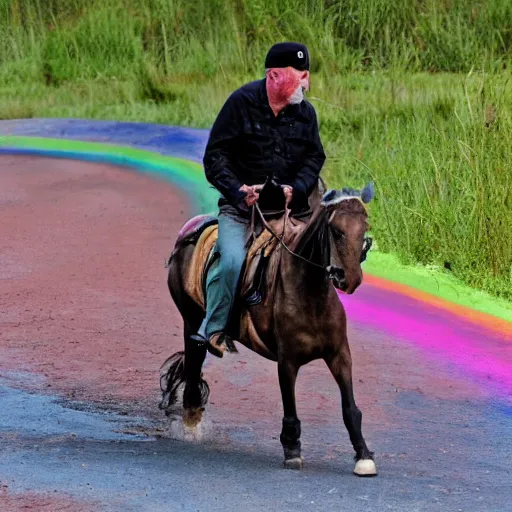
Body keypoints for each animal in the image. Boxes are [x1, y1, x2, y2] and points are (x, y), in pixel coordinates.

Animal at [159, 183, 376, 476]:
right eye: (337, 231)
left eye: (364, 229)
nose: (350, 278)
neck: (309, 292)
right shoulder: (287, 361)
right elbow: (290, 409)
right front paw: (292, 450)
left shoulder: (339, 354)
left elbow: (350, 408)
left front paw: (363, 455)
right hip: (191, 322)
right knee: (193, 369)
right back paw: (191, 422)